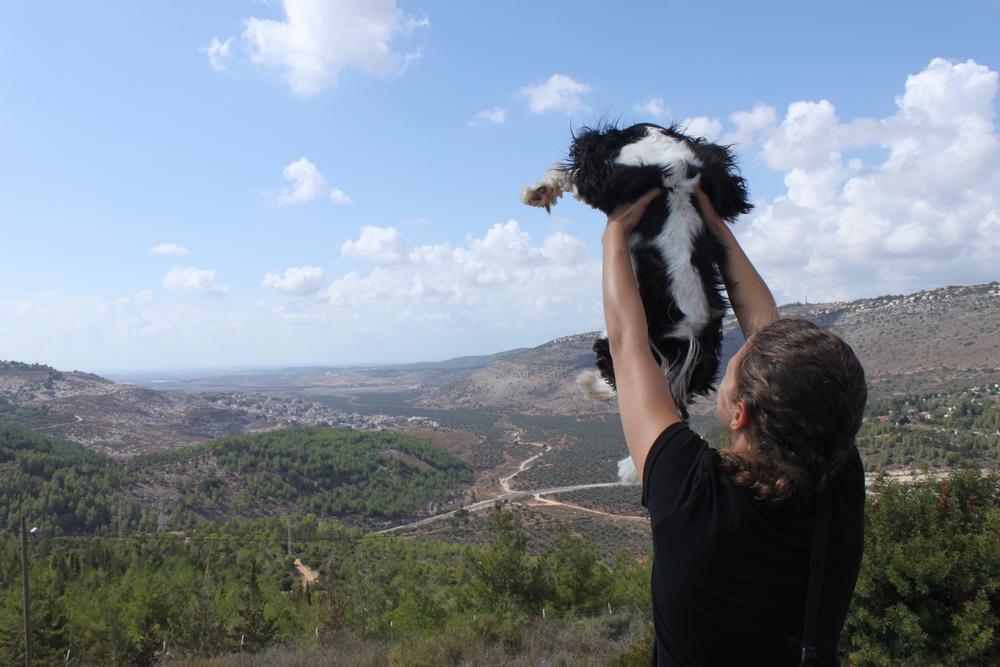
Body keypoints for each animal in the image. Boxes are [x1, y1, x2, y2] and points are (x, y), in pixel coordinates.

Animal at [524, 124, 752, 474]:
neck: (674, 166)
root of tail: (687, 340)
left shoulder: (612, 174)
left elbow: (573, 176)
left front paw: (538, 191)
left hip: (616, 338)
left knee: (614, 376)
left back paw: (589, 385)